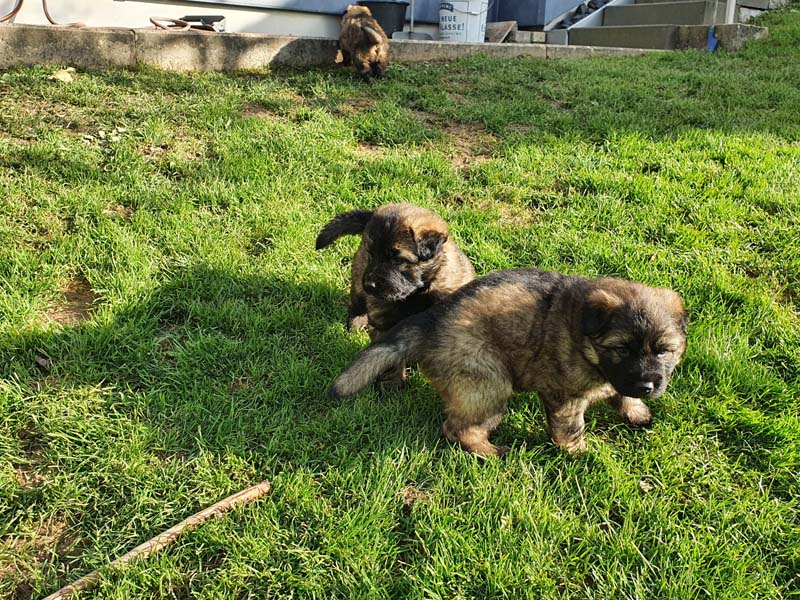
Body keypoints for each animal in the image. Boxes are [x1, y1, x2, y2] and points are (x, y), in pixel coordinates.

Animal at [316, 204, 475, 389]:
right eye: (371, 254)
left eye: (397, 260)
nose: (369, 285)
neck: (416, 294)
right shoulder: (385, 320)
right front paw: (392, 383)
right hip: (358, 279)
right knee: (356, 304)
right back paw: (356, 323)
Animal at [329, 268, 687, 456]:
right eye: (623, 349)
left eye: (663, 351)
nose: (648, 385)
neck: (584, 337)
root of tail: (428, 323)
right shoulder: (564, 396)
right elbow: (570, 427)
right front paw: (579, 454)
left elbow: (622, 394)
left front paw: (637, 412)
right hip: (488, 382)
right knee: (457, 428)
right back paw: (491, 451)